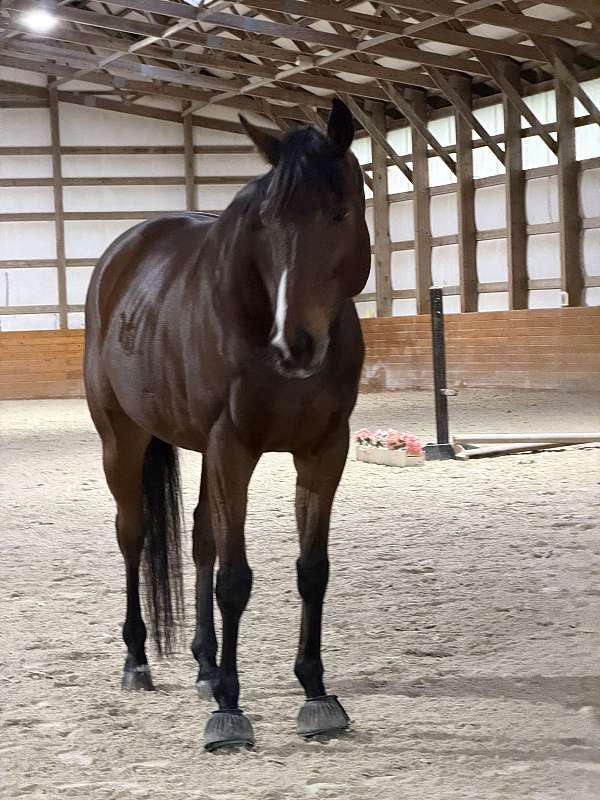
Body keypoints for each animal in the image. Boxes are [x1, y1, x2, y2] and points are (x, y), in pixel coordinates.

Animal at [84, 98, 371, 750]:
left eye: (340, 211)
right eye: (265, 223)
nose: (295, 344)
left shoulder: (325, 450)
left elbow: (312, 570)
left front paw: (315, 693)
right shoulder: (232, 448)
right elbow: (234, 579)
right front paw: (230, 712)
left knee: (199, 538)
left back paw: (205, 667)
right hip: (123, 440)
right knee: (132, 535)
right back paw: (138, 663)